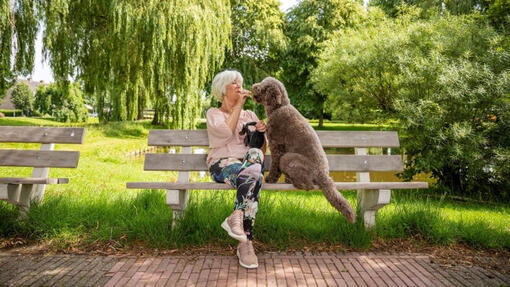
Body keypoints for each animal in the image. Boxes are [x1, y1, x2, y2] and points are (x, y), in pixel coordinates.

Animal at [250, 77, 354, 224]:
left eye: (264, 87)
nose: (253, 86)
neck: (279, 107)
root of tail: (323, 175)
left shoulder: (277, 145)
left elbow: (275, 166)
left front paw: (270, 179)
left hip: (288, 158)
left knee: (308, 185)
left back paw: (292, 181)